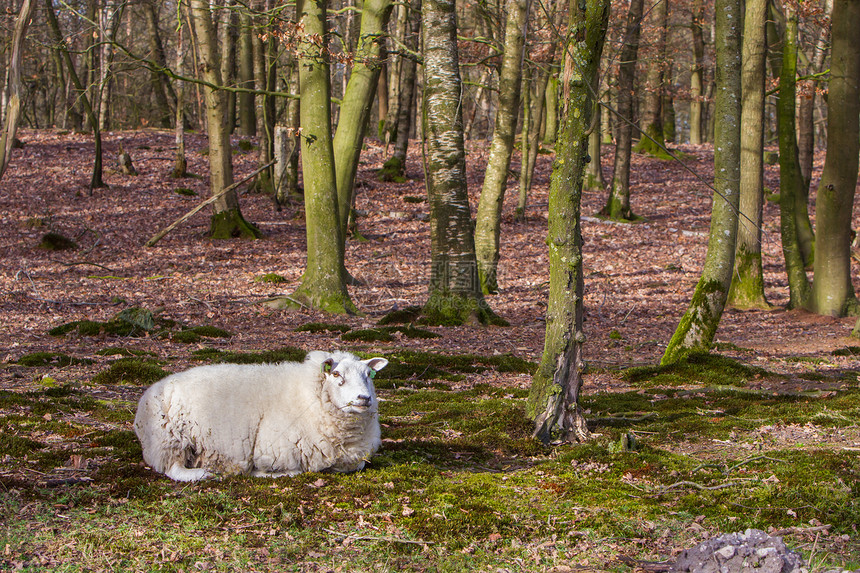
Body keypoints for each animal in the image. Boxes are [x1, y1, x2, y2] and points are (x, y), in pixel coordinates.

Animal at [133, 350, 388, 480]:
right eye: (336, 374)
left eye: (368, 374)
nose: (364, 398)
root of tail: (154, 388)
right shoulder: (272, 451)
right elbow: (292, 470)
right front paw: (260, 473)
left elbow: (357, 466)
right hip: (169, 439)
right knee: (172, 469)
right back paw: (204, 473)